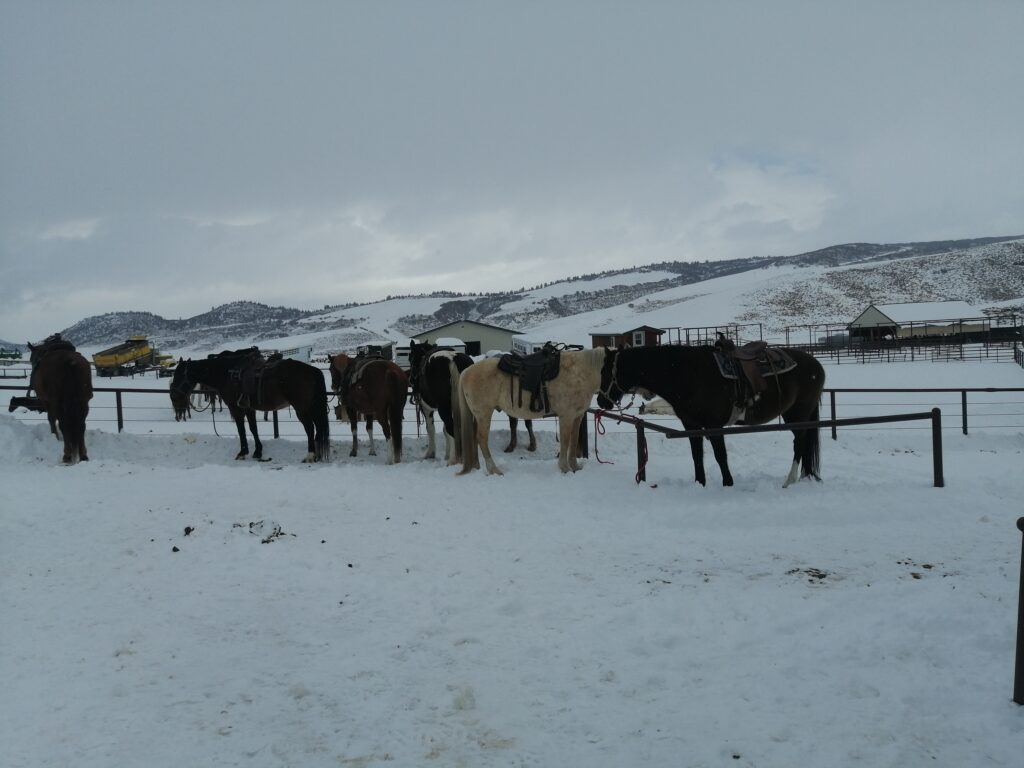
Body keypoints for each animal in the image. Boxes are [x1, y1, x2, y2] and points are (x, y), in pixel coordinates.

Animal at [167, 348, 327, 462]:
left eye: (179, 374)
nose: (173, 394)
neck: (227, 373)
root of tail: (312, 370)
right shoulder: (248, 408)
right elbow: (253, 428)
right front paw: (257, 451)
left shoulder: (236, 408)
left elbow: (241, 430)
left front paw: (243, 452)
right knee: (318, 428)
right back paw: (318, 454)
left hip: (302, 409)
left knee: (309, 428)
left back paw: (310, 455)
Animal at [405, 344, 536, 466]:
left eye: (410, 358)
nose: (411, 380)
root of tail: (453, 360)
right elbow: (444, 430)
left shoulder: (426, 408)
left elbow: (432, 429)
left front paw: (431, 454)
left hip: (445, 408)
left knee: (452, 429)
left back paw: (453, 460)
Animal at [456, 348, 606, 475]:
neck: (579, 373)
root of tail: (466, 372)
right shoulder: (567, 416)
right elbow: (566, 440)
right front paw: (565, 468)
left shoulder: (577, 416)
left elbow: (574, 440)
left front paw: (575, 467)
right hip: (484, 414)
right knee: (481, 438)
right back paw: (494, 469)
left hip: (477, 415)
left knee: (474, 438)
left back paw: (477, 466)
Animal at [598, 344, 823, 487]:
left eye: (606, 372)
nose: (601, 401)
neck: (687, 373)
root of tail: (817, 365)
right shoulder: (691, 426)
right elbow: (697, 456)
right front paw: (700, 483)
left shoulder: (714, 426)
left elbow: (720, 456)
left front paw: (728, 483)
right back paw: (805, 477)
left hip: (797, 415)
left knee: (799, 444)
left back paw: (790, 480)